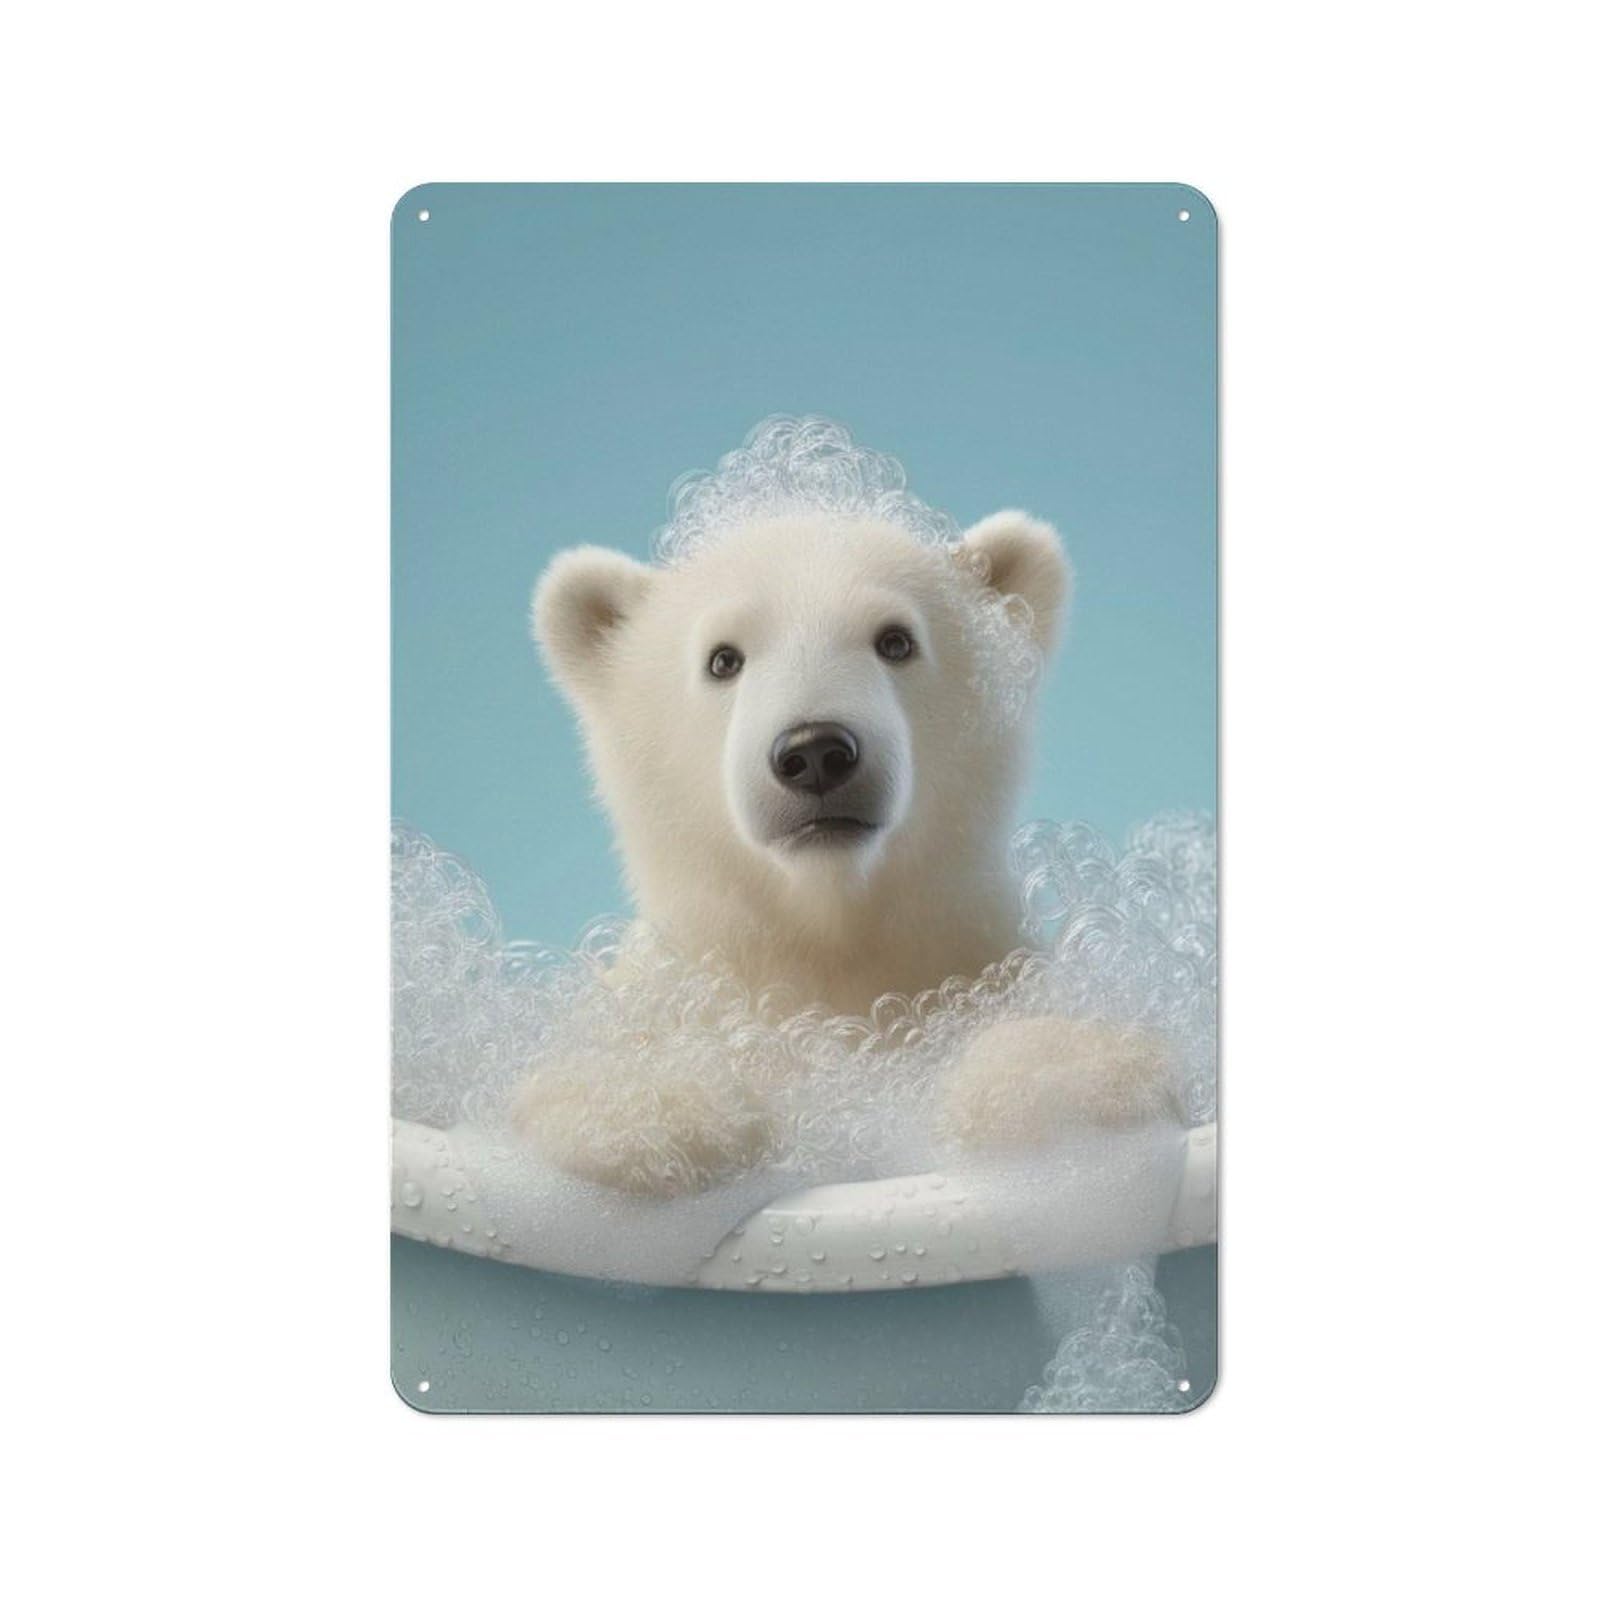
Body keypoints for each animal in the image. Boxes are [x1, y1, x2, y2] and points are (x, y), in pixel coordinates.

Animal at [513, 453, 1175, 1196]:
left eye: (896, 640)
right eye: (723, 658)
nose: (814, 752)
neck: (827, 937)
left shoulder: (986, 961)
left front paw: (1057, 1078)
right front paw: (658, 1111)